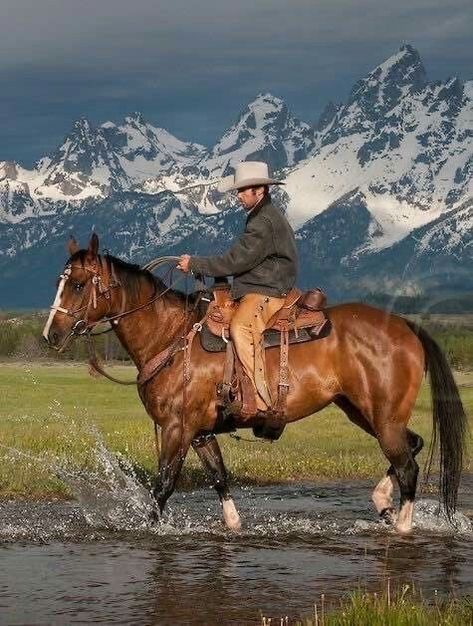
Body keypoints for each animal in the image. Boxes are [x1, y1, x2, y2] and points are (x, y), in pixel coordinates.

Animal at [42, 233, 466, 532]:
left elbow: (162, 487)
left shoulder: (177, 428)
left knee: (408, 465)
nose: (51, 334)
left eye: (77, 285)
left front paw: (148, 530)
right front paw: (234, 526)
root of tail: (405, 325)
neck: (170, 336)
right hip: (363, 411)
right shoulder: (200, 432)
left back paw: (402, 526)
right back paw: (382, 504)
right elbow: (219, 478)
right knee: (412, 446)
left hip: (383, 417)